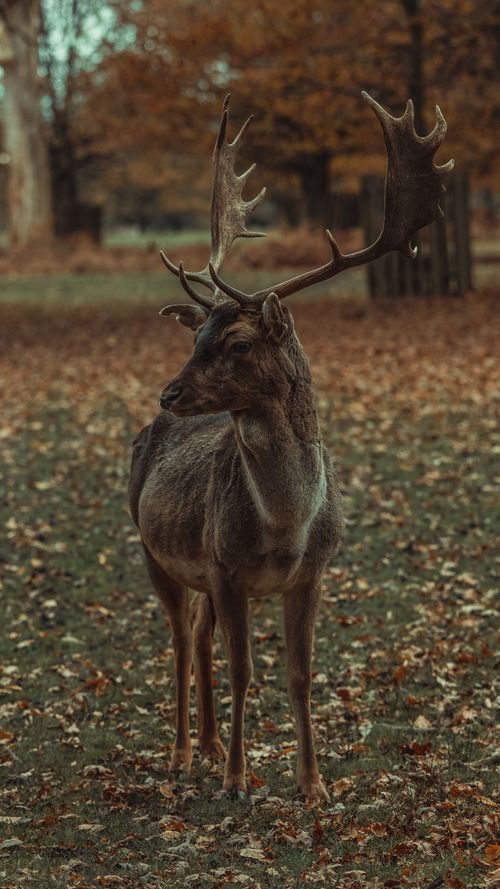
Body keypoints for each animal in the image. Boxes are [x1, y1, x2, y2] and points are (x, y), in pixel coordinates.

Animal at [128, 91, 453, 801]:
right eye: (197, 337)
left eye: (238, 342)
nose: (168, 393)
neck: (285, 527)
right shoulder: (225, 566)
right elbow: (245, 670)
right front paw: (237, 780)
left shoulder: (313, 570)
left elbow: (301, 675)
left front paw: (313, 785)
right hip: (153, 549)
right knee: (177, 640)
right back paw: (183, 754)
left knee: (197, 638)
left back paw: (208, 744)